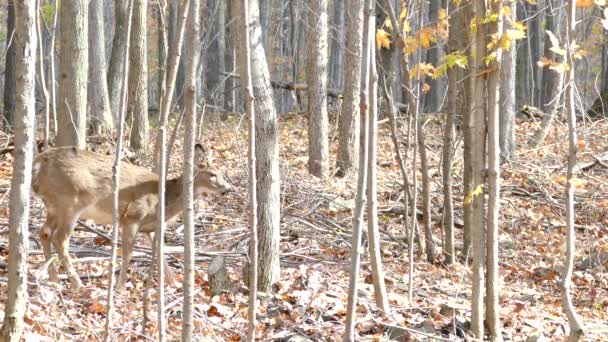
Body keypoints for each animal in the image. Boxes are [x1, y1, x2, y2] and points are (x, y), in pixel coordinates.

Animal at [30, 143, 232, 290]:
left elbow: (160, 252)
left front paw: (174, 284)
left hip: (53, 205)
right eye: (212, 174)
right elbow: (128, 253)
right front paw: (120, 287)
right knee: (60, 238)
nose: (228, 188)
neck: (165, 198)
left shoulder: (150, 228)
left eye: (223, 173)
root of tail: (38, 164)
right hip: (70, 201)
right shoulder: (132, 216)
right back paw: (77, 283)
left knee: (44, 232)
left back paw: (54, 279)